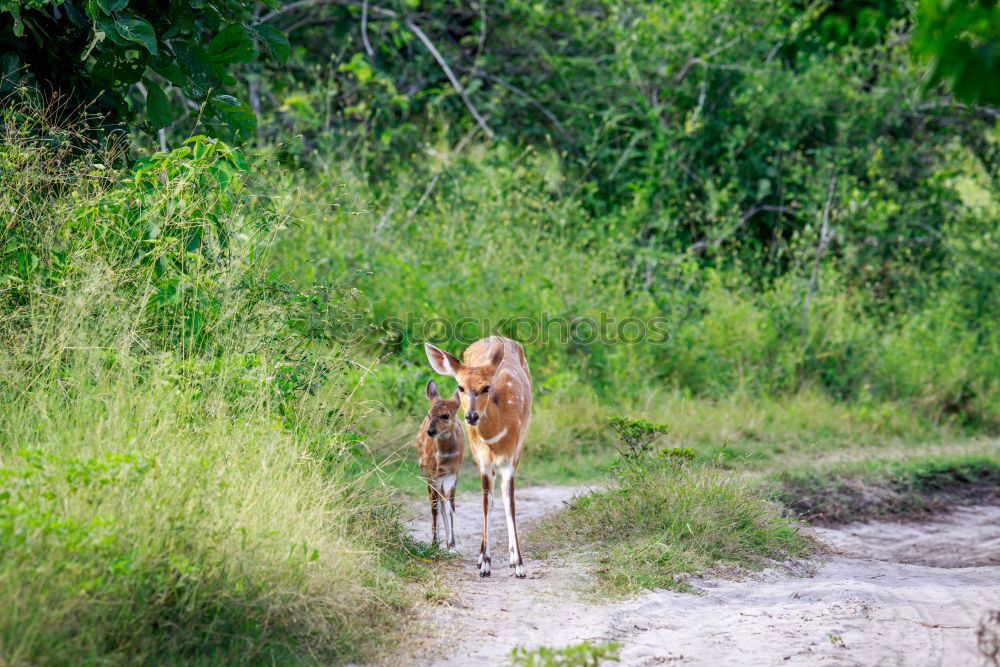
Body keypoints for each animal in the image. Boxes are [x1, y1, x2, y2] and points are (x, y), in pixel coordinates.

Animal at [424, 336, 532, 576]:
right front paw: (484, 563)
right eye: (460, 386)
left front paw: (519, 565)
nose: (471, 416)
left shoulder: (510, 456)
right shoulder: (482, 459)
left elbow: (510, 502)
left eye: (486, 387)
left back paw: (511, 559)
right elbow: (485, 502)